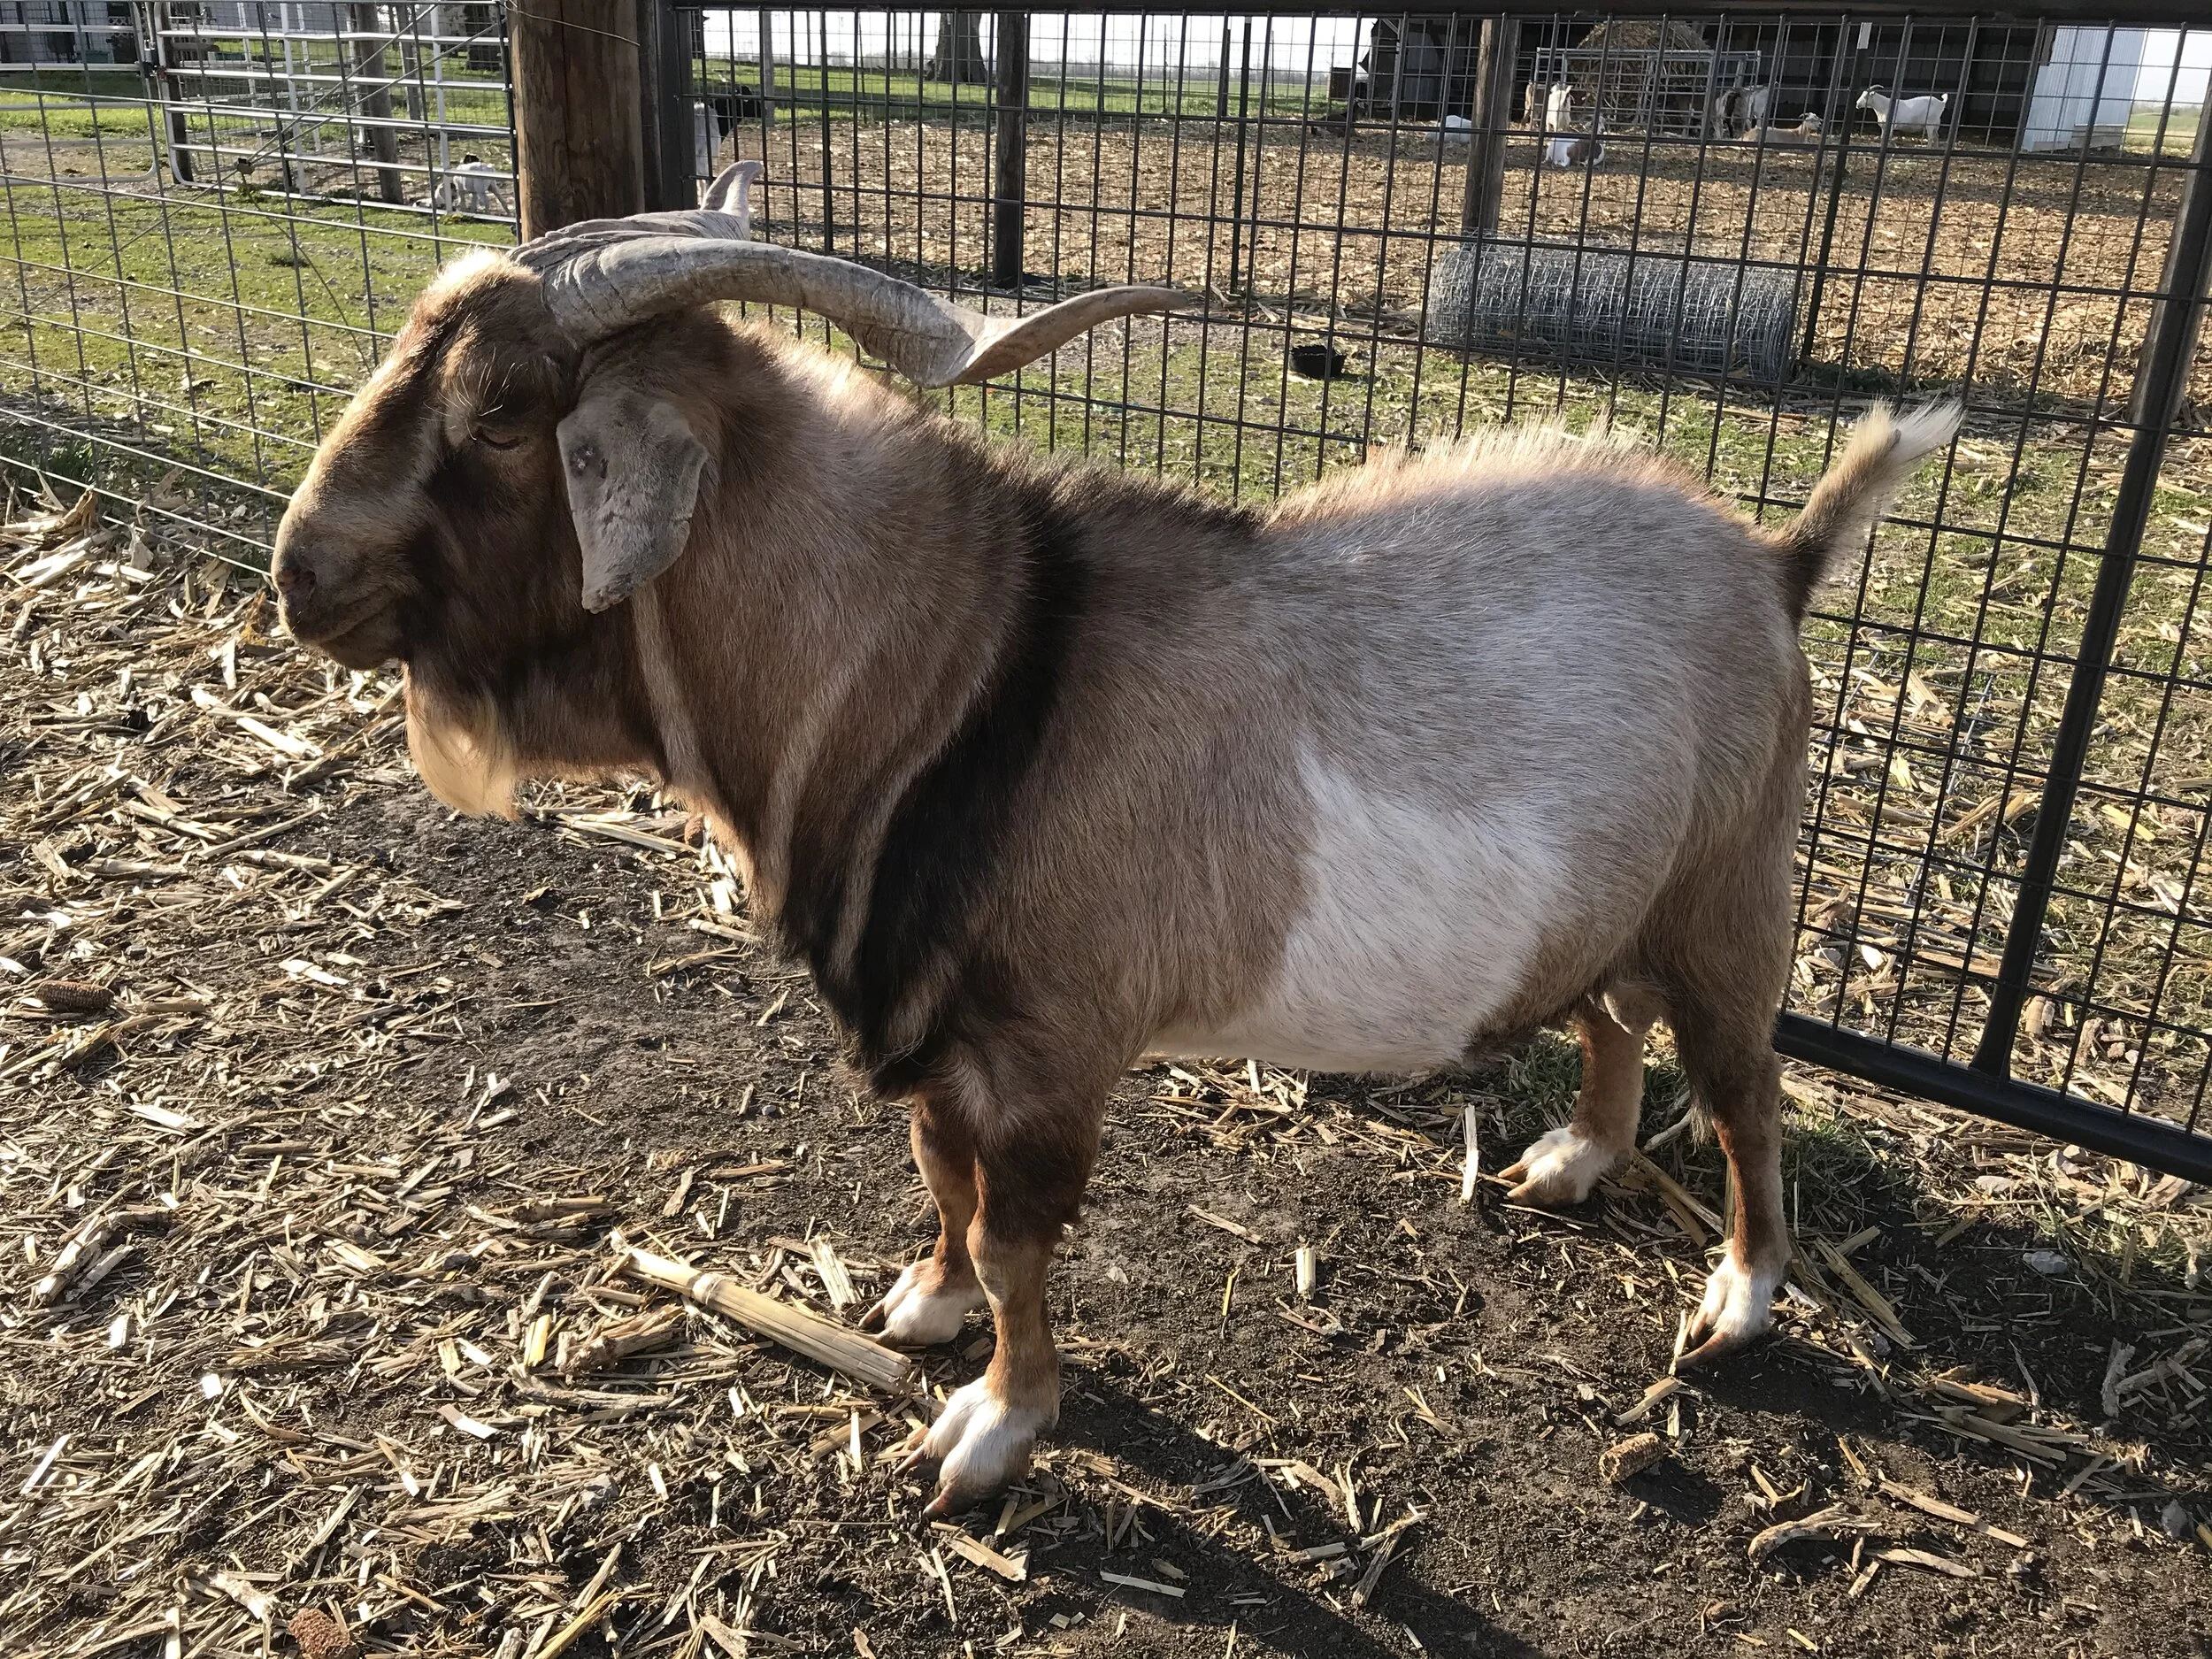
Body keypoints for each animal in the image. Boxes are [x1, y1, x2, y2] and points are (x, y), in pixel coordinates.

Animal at [272, 162, 1961, 1515]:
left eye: (503, 412)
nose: (301, 575)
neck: (954, 674)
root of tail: (1773, 561)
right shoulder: (933, 1034)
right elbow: (942, 1186)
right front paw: (921, 1307)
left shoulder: (1047, 1053)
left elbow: (1022, 1243)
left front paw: (994, 1427)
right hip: (1613, 896)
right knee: (1614, 1013)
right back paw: (1574, 1159)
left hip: (1732, 887)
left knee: (1746, 1088)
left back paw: (1738, 1300)